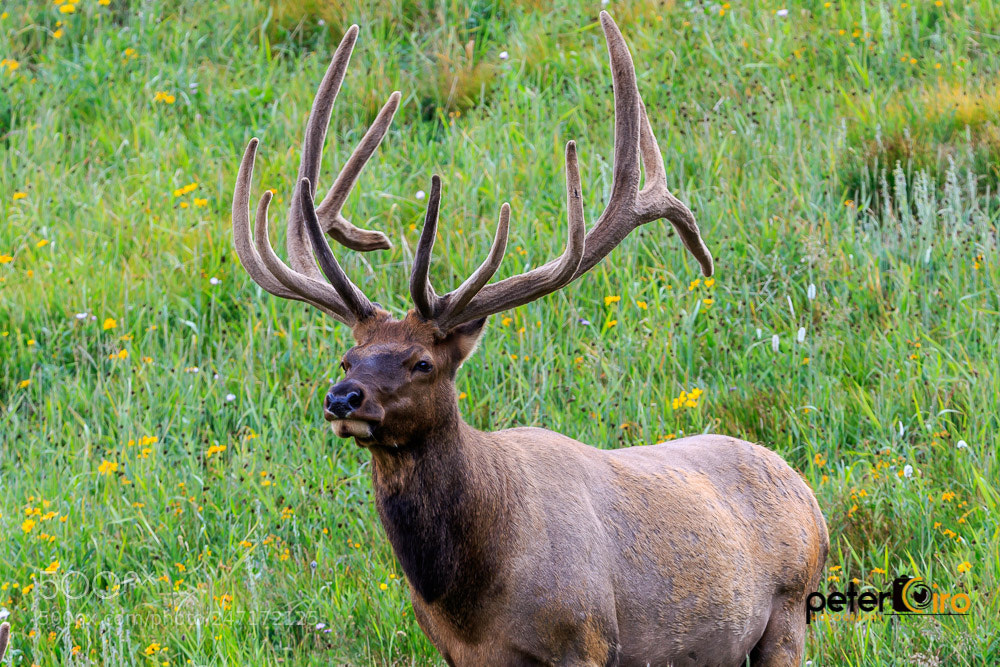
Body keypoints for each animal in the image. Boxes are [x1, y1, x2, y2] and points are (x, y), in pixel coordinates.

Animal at [231, 12, 828, 666]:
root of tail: (806, 494)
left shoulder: (585, 637)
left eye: (422, 362)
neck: (472, 596)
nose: (343, 399)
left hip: (788, 610)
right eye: (347, 356)